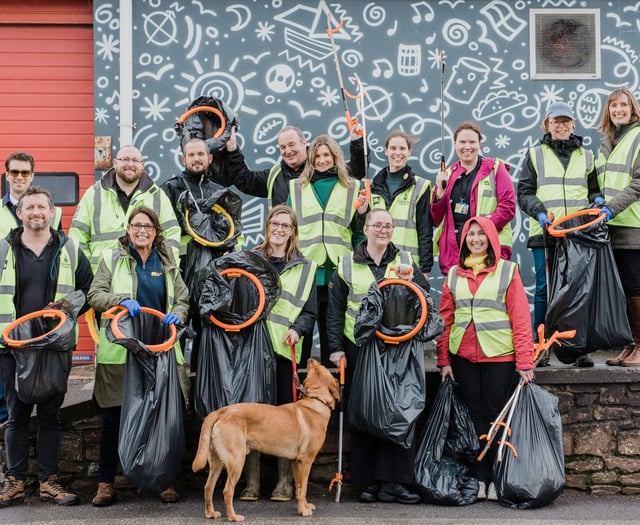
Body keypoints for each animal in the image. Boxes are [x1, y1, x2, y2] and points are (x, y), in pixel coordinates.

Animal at [190, 356, 340, 520]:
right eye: (319, 367)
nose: (311, 358)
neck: (316, 400)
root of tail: (221, 411)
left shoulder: (296, 462)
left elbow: (299, 488)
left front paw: (304, 507)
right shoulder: (306, 461)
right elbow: (303, 488)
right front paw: (304, 511)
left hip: (217, 462)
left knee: (208, 487)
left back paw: (211, 513)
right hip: (236, 460)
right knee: (227, 490)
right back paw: (233, 517)